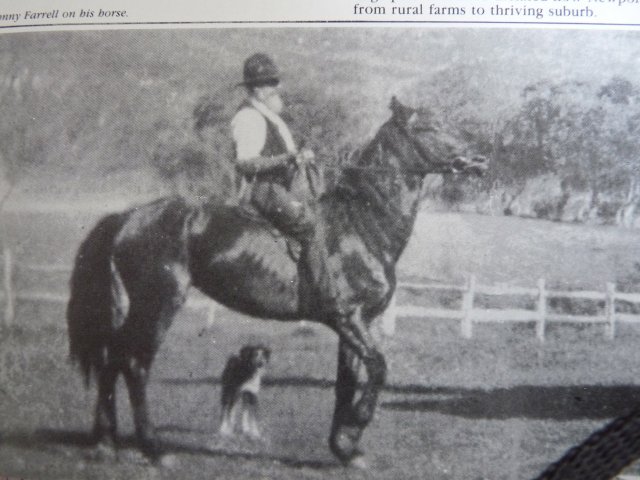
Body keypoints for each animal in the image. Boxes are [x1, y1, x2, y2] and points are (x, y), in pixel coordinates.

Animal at [66, 95, 484, 466]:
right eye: (430, 127)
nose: (480, 160)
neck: (360, 225)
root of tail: (128, 217)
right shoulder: (347, 317)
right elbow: (379, 368)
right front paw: (354, 429)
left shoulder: (357, 323)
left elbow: (347, 382)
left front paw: (343, 449)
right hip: (159, 303)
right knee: (134, 364)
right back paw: (154, 449)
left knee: (112, 359)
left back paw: (105, 443)